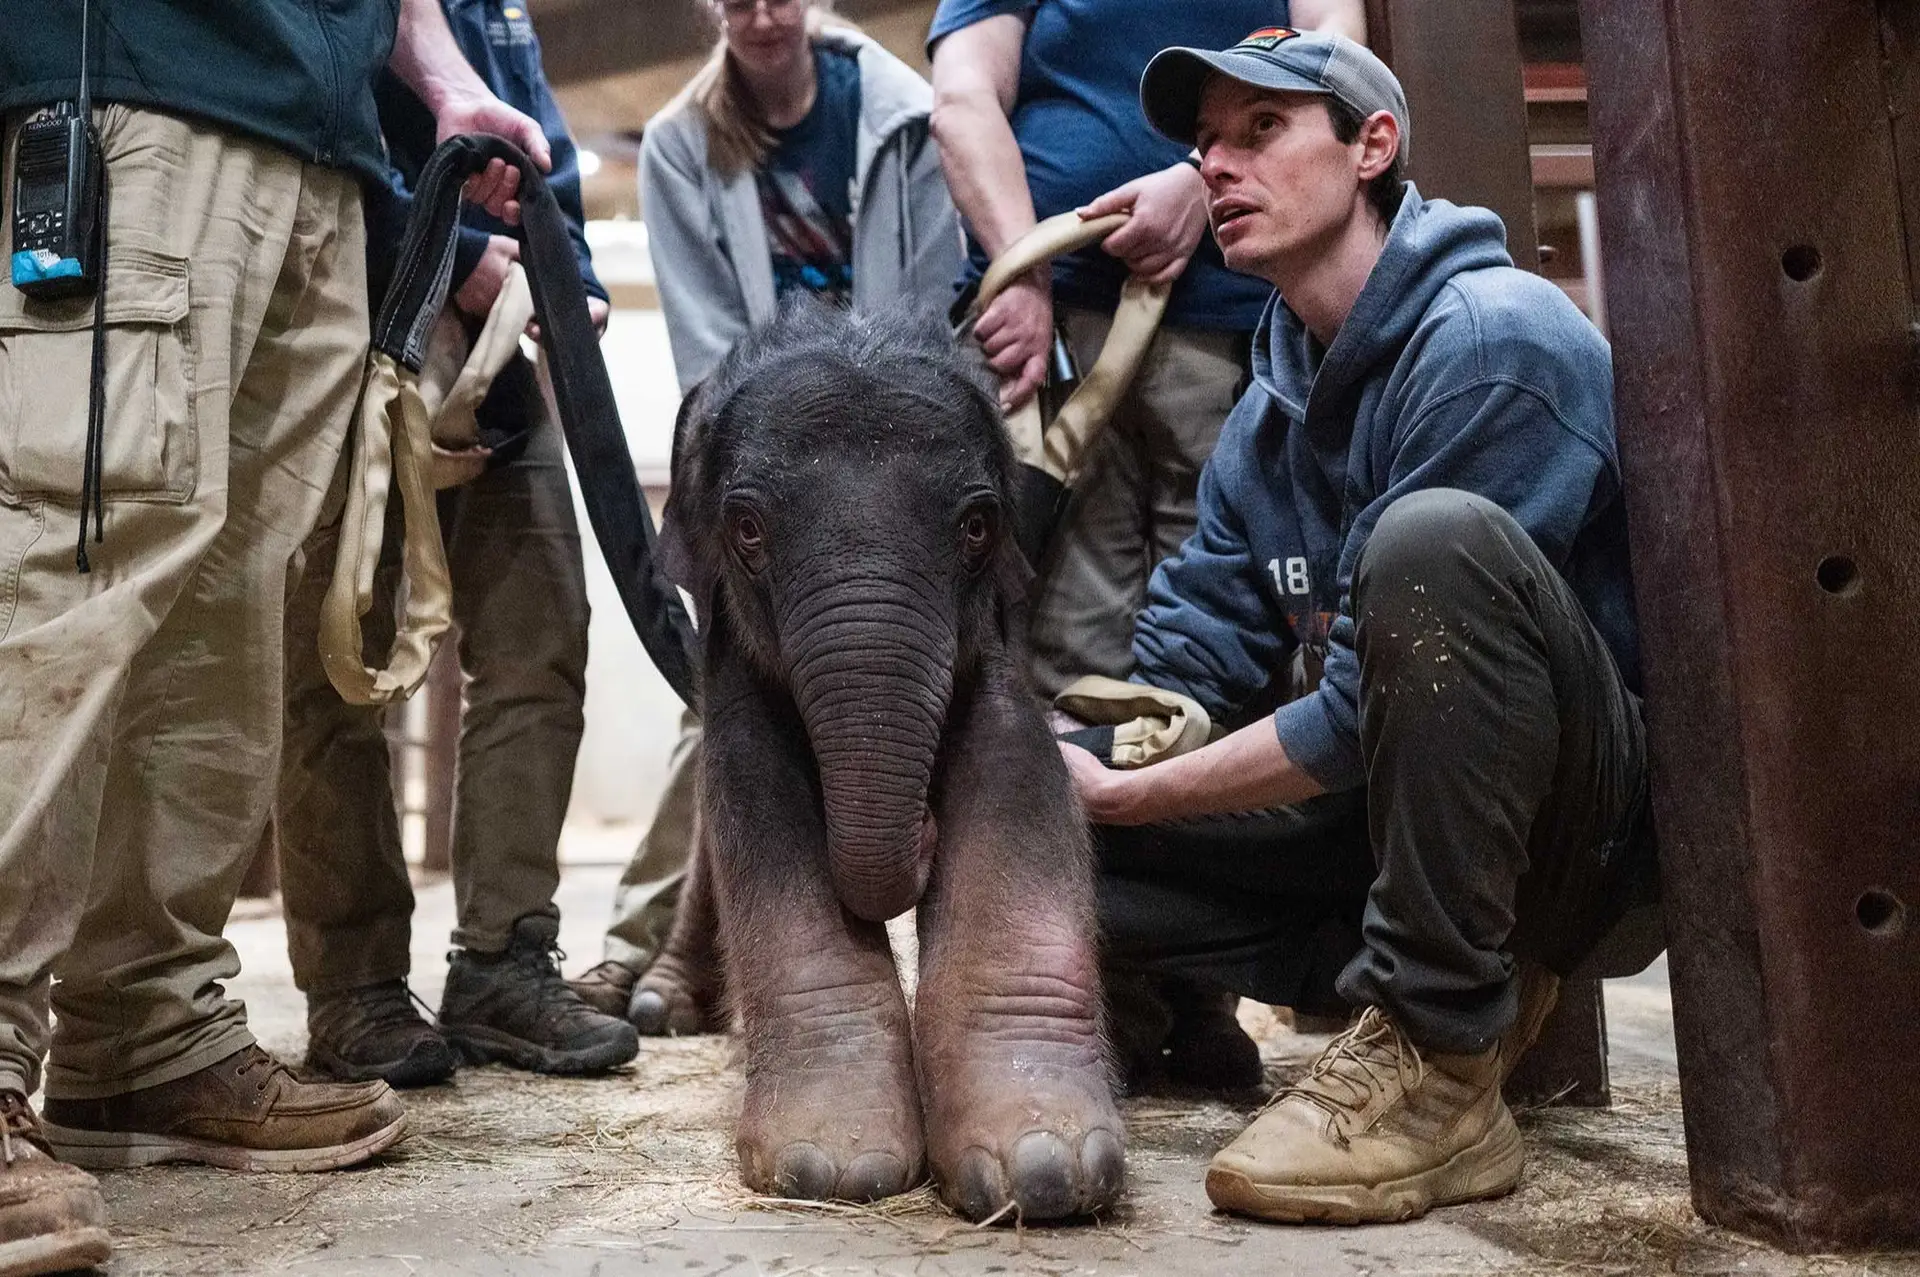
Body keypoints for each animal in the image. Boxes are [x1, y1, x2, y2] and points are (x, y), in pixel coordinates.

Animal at [645, 299, 1125, 1222]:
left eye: (976, 526)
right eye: (747, 529)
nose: (923, 829)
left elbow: (1017, 778)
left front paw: (1048, 1165)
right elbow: (755, 798)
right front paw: (832, 1165)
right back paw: (659, 1002)